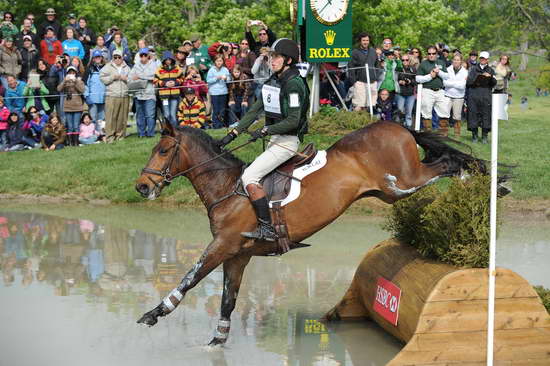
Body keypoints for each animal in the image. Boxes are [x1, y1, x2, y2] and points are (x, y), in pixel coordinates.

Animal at [135, 121, 496, 346]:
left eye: (163, 151)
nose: (142, 187)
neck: (228, 188)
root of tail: (397, 125)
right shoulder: (237, 256)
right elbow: (227, 300)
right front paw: (217, 341)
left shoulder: (222, 245)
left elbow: (190, 277)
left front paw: (154, 313)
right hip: (386, 193)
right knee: (445, 163)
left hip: (405, 179)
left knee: (445, 164)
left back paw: (483, 183)